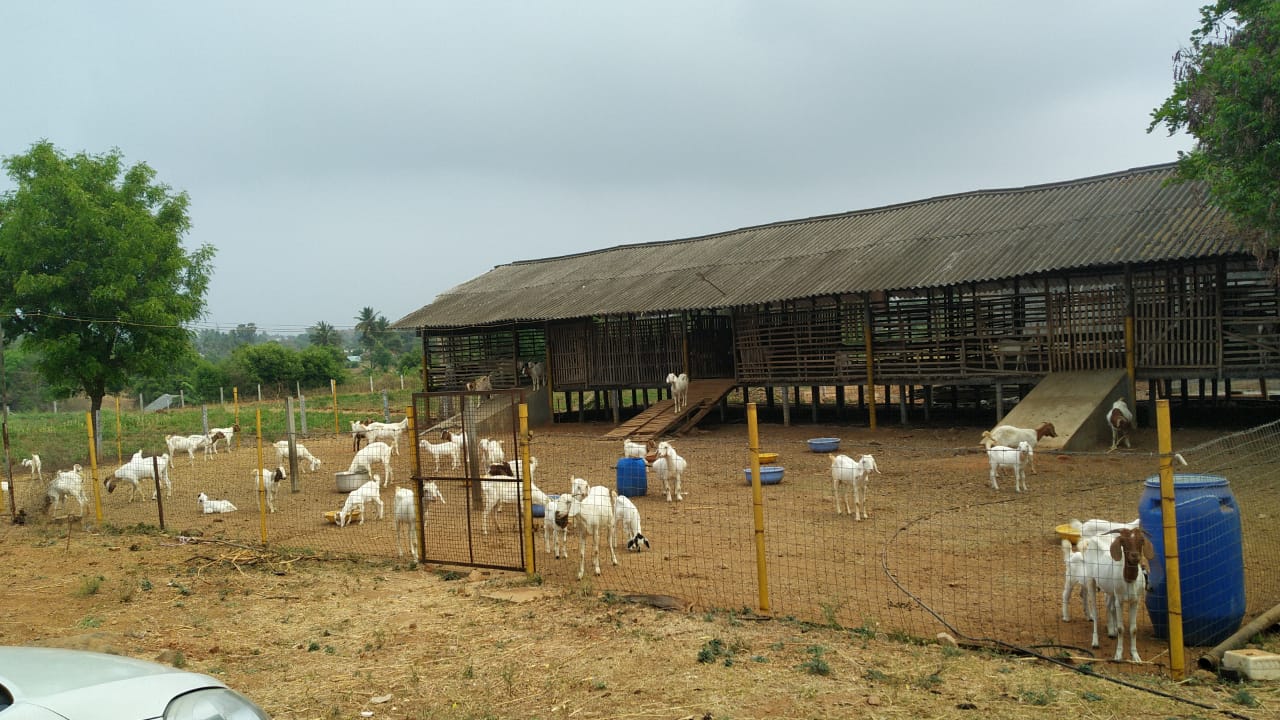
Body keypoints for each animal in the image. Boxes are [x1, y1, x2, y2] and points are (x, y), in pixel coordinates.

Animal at [1082, 527, 1153, 662]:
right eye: (1123, 542)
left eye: (1141, 540)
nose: (1135, 556)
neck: (1129, 581)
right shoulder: (1120, 600)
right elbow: (1121, 628)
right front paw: (1118, 655)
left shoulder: (1135, 601)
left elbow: (1133, 629)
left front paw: (1136, 656)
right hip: (1090, 580)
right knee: (1095, 610)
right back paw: (1095, 641)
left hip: (1110, 590)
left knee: (1109, 606)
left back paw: (1111, 631)